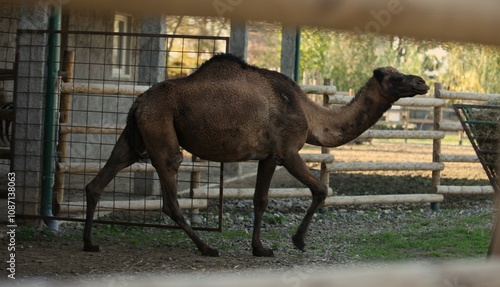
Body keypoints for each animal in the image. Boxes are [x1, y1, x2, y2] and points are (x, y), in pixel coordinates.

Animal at [83, 54, 430, 258]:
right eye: (396, 78)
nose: (422, 82)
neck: (309, 113)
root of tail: (139, 102)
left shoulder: (268, 155)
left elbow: (260, 200)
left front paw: (260, 247)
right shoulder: (287, 150)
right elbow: (321, 189)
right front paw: (298, 241)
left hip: (134, 137)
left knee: (98, 181)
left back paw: (89, 243)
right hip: (161, 131)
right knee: (170, 194)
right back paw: (207, 247)